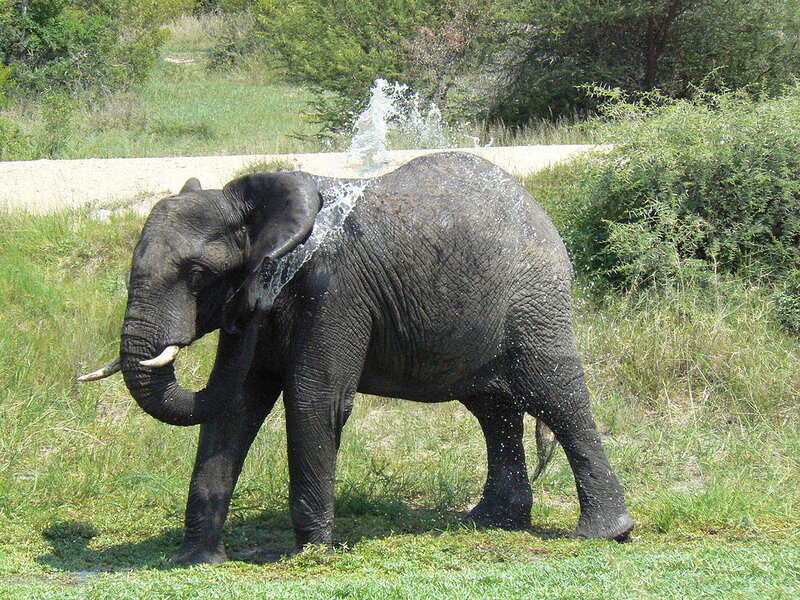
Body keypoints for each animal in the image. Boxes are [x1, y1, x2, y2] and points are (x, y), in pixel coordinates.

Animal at [80, 152, 634, 564]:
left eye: (197, 274)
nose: (245, 311)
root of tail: (536, 207)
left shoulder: (335, 290)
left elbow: (314, 400)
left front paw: (309, 557)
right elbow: (234, 407)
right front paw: (194, 560)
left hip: (536, 299)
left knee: (557, 398)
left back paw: (604, 534)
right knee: (493, 409)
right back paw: (490, 522)